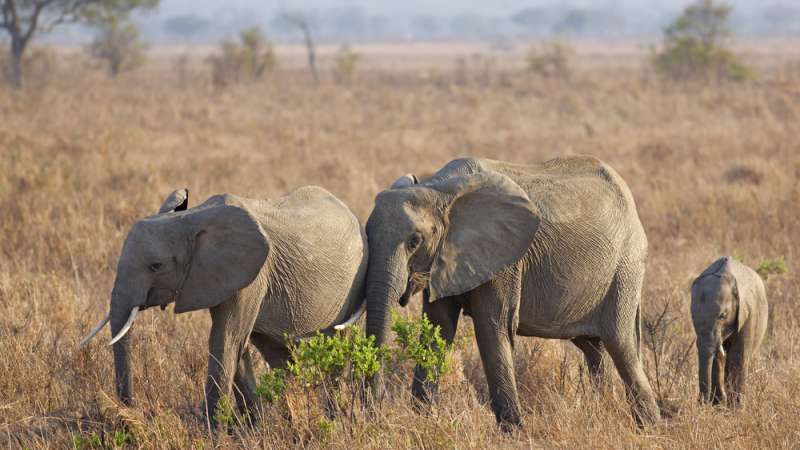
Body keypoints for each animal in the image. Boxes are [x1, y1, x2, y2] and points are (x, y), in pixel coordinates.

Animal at [80, 186, 367, 425]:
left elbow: (227, 339)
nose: (129, 413)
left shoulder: (251, 274)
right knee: (275, 351)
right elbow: (236, 344)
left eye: (156, 266)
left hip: (355, 284)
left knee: (339, 341)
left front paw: (212, 432)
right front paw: (253, 429)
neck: (192, 218)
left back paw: (338, 418)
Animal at [363, 156, 660, 428]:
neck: (439, 190)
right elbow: (438, 327)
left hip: (626, 267)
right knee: (594, 347)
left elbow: (492, 328)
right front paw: (423, 420)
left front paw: (514, 431)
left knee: (621, 344)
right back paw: (603, 412)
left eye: (414, 241)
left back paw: (649, 426)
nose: (376, 414)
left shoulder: (505, 260)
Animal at [690, 256, 768, 407]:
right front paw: (719, 405)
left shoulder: (748, 313)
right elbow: (718, 357)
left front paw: (736, 408)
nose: (702, 403)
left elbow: (738, 356)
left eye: (722, 316)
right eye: (692, 316)